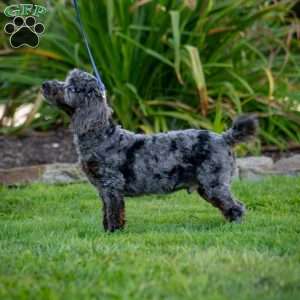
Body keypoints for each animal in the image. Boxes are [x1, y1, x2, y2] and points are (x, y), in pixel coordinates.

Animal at [41, 69, 258, 232]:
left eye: (70, 87)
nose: (44, 84)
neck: (102, 136)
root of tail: (224, 137)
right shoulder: (104, 190)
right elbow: (106, 213)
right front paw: (106, 231)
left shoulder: (111, 185)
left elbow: (114, 213)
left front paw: (113, 233)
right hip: (207, 187)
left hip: (214, 184)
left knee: (236, 207)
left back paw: (234, 227)